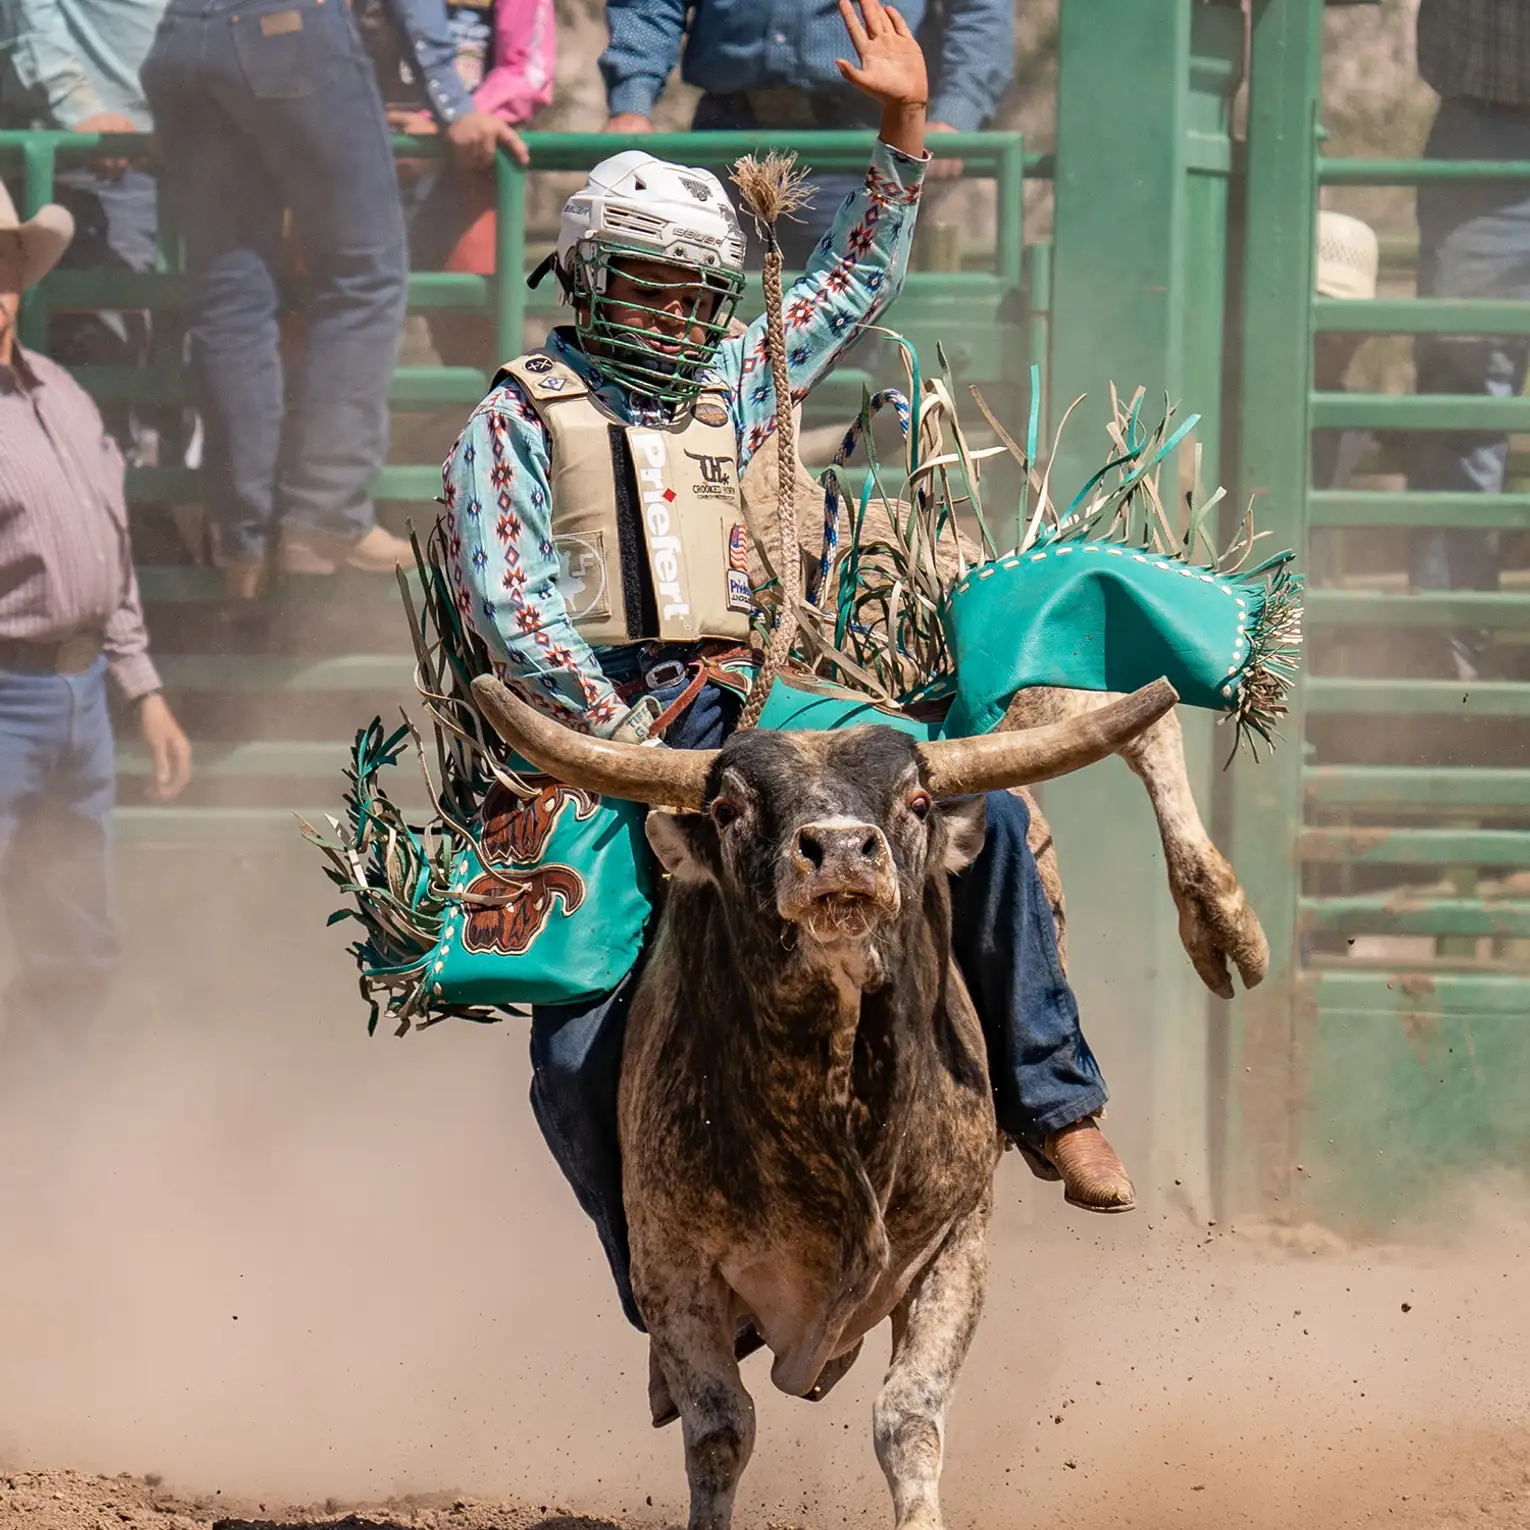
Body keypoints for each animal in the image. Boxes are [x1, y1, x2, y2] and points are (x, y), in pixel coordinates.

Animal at [471, 679, 1236, 1530]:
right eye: (729, 807)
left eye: (918, 800)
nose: (839, 850)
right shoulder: (672, 1262)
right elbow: (721, 1429)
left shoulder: (956, 1241)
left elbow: (908, 1415)